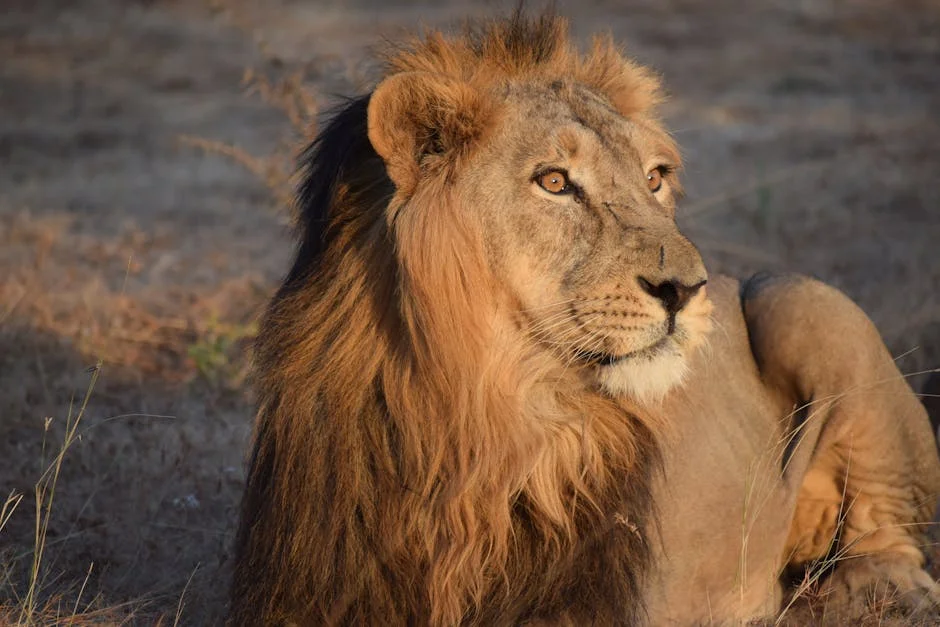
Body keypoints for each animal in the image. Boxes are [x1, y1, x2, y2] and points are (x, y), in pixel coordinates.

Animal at [228, 12, 940, 626]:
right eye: (553, 181)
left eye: (654, 178)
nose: (687, 288)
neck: (471, 422)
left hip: (801, 299)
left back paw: (865, 591)